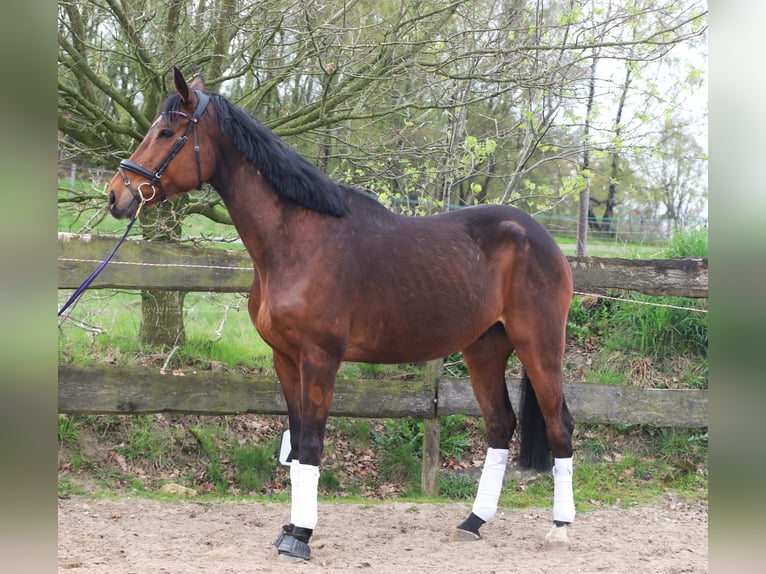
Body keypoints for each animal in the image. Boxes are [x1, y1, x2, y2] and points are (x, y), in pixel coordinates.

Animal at [107, 68, 576, 561]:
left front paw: (301, 537)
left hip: (539, 344)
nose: (116, 195)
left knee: (559, 424)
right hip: (484, 348)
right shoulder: (285, 359)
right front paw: (290, 528)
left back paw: (560, 528)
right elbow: (296, 446)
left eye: (167, 133)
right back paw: (472, 522)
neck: (297, 240)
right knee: (500, 425)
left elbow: (312, 445)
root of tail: (543, 239)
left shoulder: (320, 359)